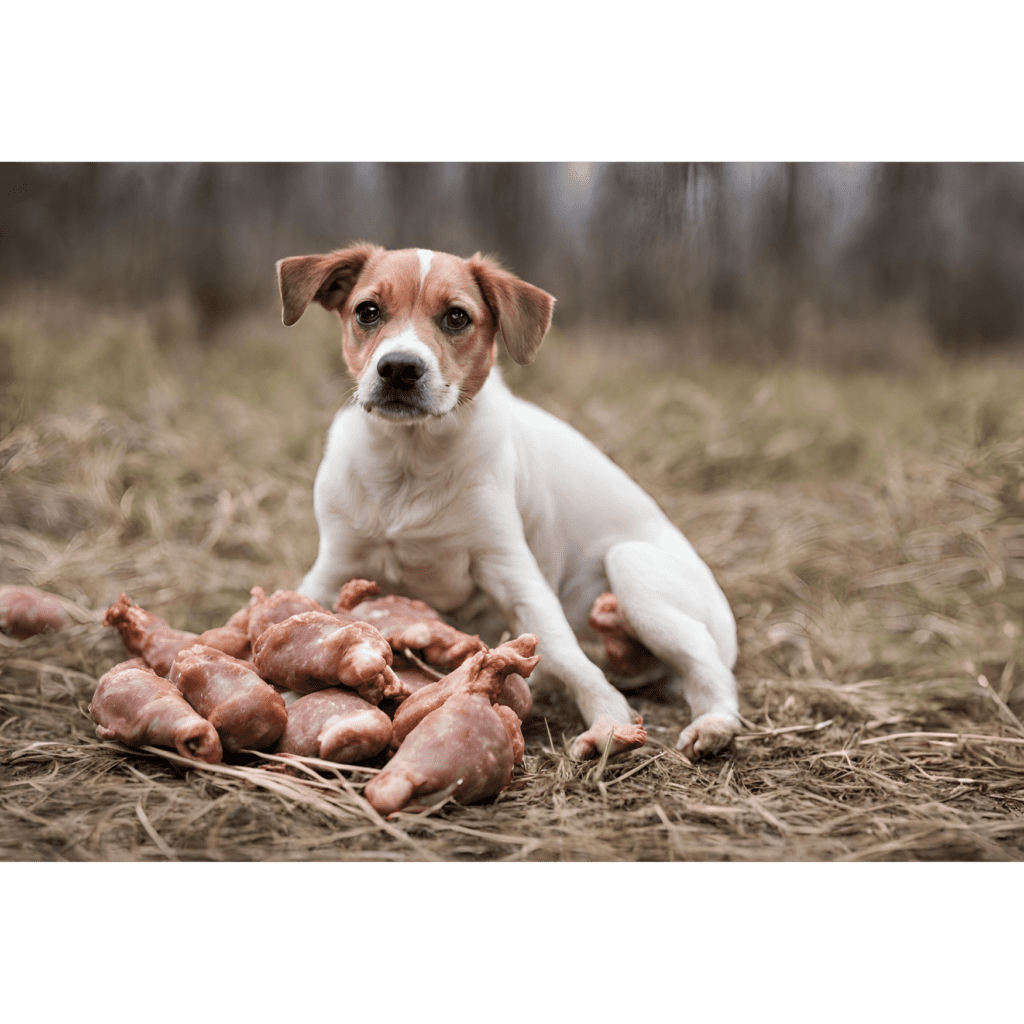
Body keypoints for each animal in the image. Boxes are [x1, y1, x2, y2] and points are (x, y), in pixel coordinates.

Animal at [276, 243, 741, 761]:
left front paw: (609, 720)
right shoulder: (333, 566)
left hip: (633, 567)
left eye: (457, 317)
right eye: (368, 311)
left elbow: (567, 654)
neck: (409, 466)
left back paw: (714, 722)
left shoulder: (512, 572)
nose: (398, 368)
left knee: (704, 662)